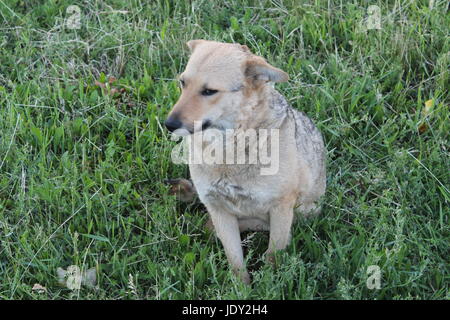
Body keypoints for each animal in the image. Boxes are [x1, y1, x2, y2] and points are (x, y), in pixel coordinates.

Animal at [163, 38, 326, 284]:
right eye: (183, 82)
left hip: (306, 211)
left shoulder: (281, 207)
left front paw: (269, 284)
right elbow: (236, 263)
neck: (229, 151)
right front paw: (242, 287)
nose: (169, 124)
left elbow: (272, 256)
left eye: (209, 91)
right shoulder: (218, 209)